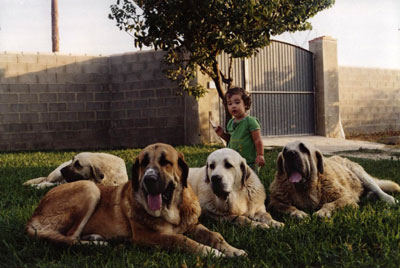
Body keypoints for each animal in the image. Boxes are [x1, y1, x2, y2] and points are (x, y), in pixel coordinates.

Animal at [25, 143, 247, 258]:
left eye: (166, 162)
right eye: (143, 163)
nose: (148, 179)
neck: (172, 209)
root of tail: (34, 214)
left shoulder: (192, 225)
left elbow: (215, 235)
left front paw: (232, 250)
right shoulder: (147, 236)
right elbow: (180, 240)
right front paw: (211, 253)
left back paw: (96, 239)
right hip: (90, 188)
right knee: (69, 238)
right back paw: (99, 244)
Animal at [268, 139, 400, 219]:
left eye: (303, 148)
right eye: (284, 151)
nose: (289, 153)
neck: (304, 189)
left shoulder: (347, 198)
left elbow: (332, 203)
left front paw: (323, 211)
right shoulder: (274, 202)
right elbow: (284, 206)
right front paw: (297, 212)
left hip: (360, 173)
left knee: (378, 190)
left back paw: (390, 200)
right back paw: (369, 196)